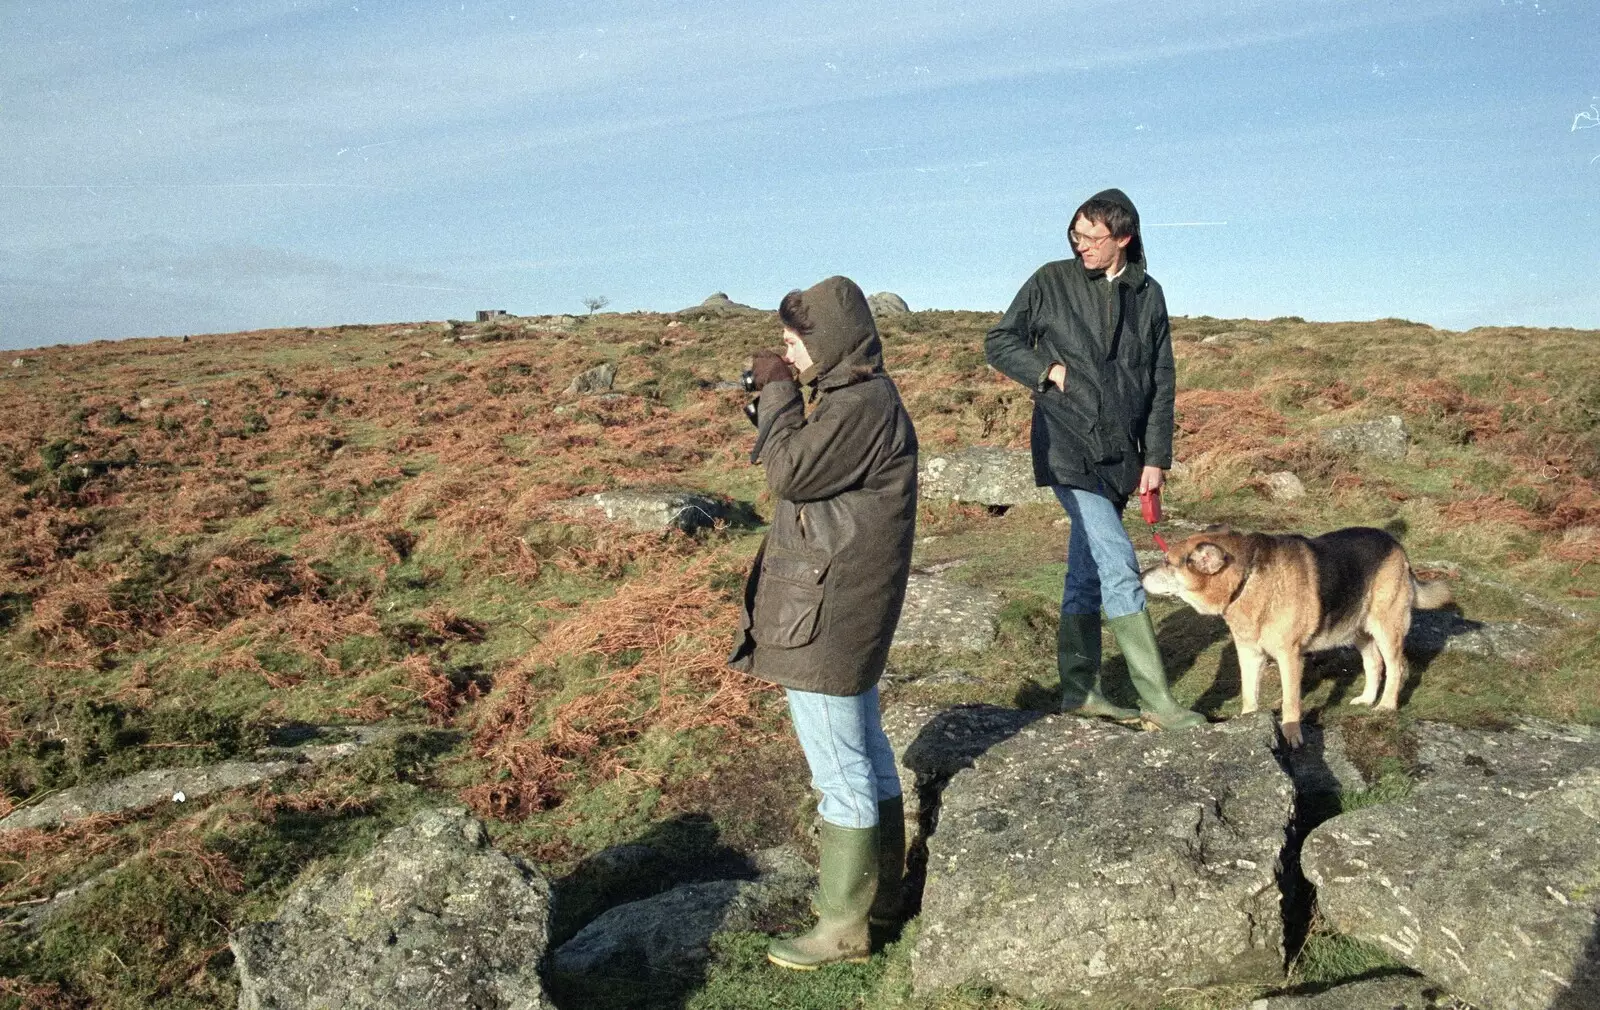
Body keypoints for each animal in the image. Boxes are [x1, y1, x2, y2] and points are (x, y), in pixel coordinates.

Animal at [1139, 525, 1452, 745]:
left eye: (1167, 562)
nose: (1139, 575)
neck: (1247, 579)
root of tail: (1396, 545)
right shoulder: (1249, 655)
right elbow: (1249, 695)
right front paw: (1247, 725)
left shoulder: (1289, 656)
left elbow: (1291, 701)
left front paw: (1291, 736)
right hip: (1356, 629)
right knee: (1374, 664)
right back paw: (1366, 699)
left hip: (1386, 628)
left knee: (1396, 667)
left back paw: (1386, 705)